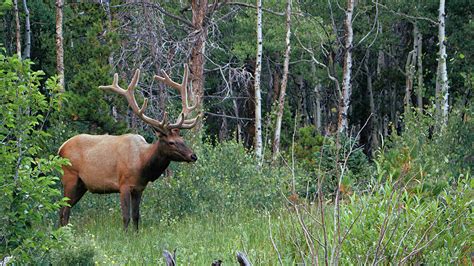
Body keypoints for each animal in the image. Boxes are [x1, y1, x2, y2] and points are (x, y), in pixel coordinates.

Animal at [58, 65, 201, 231]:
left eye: (182, 139)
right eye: (171, 142)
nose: (193, 156)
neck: (143, 164)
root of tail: (60, 149)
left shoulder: (139, 188)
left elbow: (136, 216)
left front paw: (135, 234)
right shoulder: (124, 184)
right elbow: (126, 217)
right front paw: (125, 235)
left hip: (82, 185)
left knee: (63, 209)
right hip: (70, 177)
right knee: (64, 210)